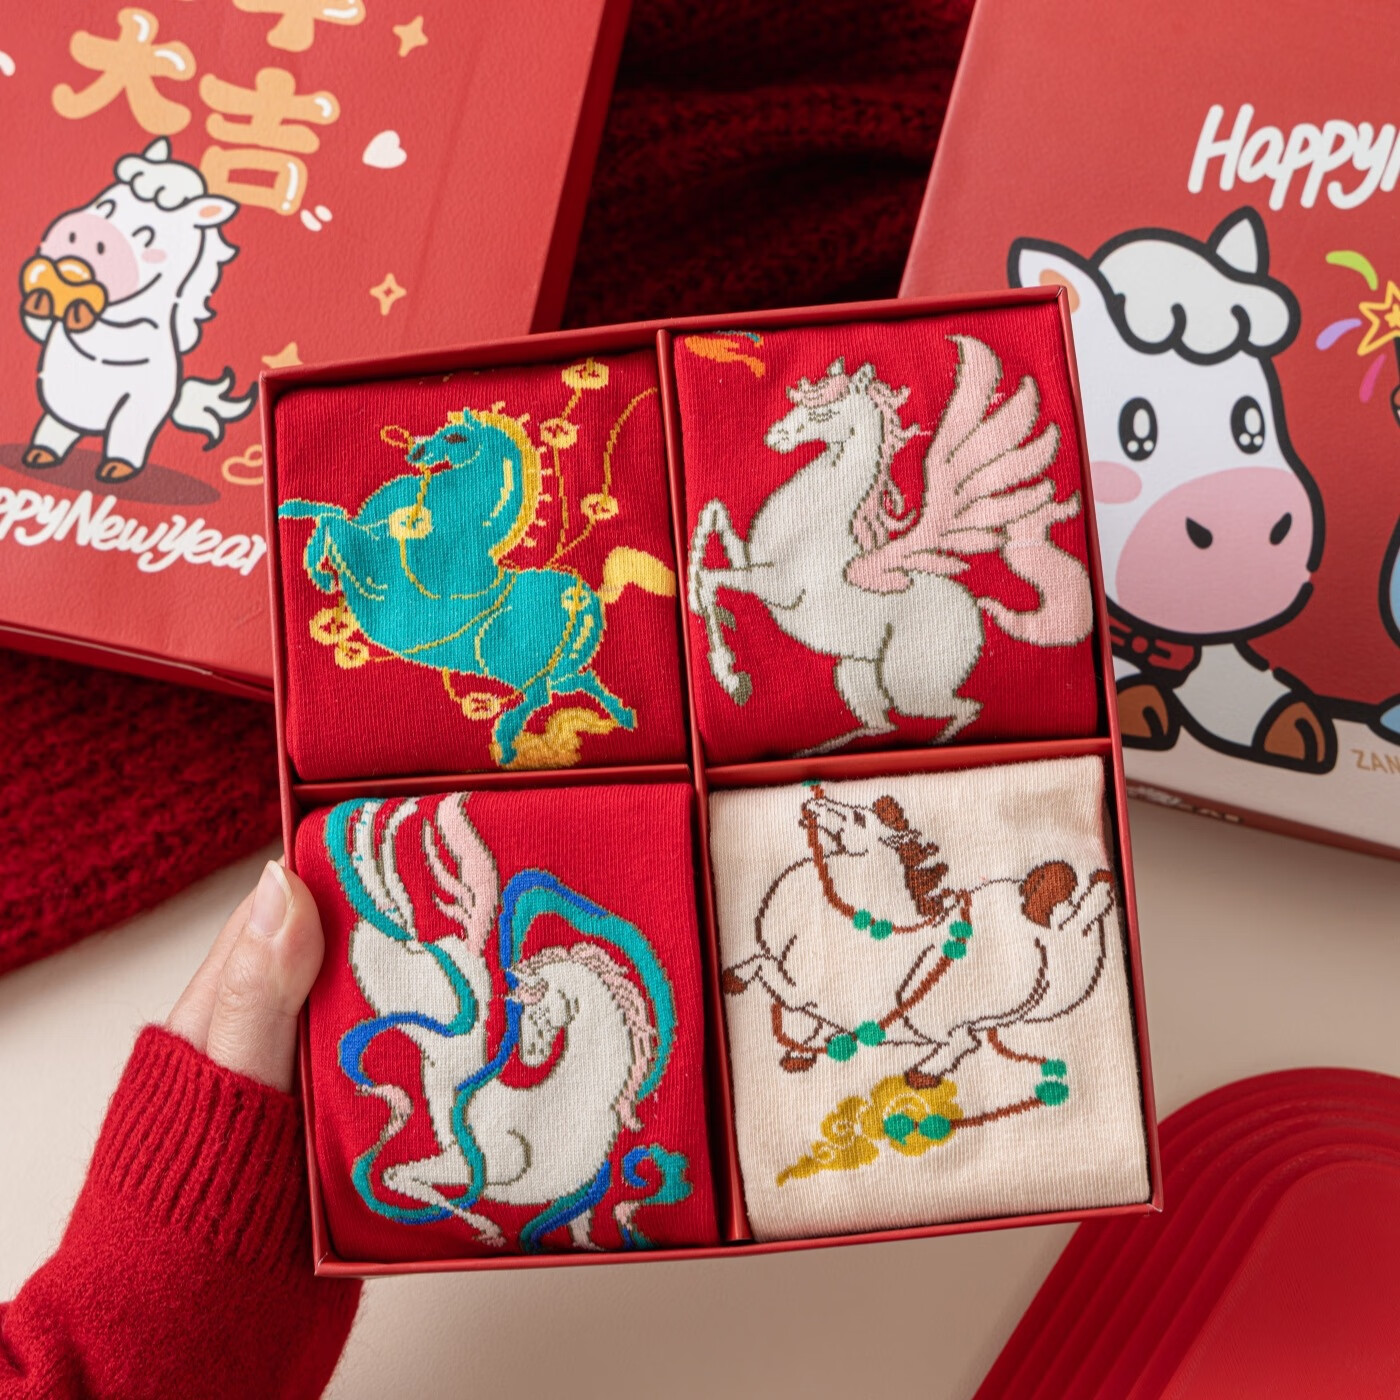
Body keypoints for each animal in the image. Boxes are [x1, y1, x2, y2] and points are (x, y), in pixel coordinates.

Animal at [19, 138, 254, 483]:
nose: (87, 232)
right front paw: (41, 300)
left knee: (125, 436)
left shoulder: (140, 329)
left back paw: (118, 466)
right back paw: (42, 453)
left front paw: (78, 311)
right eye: (106, 207)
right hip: (63, 409)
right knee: (57, 428)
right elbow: (40, 324)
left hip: (135, 413)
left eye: (147, 236)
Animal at [280, 404, 676, 767]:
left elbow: (333, 525)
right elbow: (332, 516)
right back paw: (621, 715)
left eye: (456, 436)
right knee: (580, 681)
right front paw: (295, 515)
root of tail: (586, 599)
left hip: (506, 658)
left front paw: (319, 570)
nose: (416, 452)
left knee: (540, 697)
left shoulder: (374, 570)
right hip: (557, 668)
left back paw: (506, 740)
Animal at [333, 794, 685, 1251]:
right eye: (526, 1015)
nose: (530, 1055)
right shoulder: (489, 1165)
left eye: (537, 1014)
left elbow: (582, 1230)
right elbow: (406, 1177)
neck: (584, 1098)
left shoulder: (579, 1197)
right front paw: (486, 1226)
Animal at [686, 340, 1091, 753]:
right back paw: (818, 749)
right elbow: (714, 520)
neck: (818, 520)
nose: (775, 436)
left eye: (824, 411)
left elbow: (713, 578)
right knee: (883, 724)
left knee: (964, 708)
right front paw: (699, 602)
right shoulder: (750, 558)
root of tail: (975, 606)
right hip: (855, 669)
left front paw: (728, 670)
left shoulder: (777, 585)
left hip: (910, 679)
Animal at [721, 786, 1116, 1092]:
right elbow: (806, 1016)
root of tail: (1056, 927)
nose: (812, 806)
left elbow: (766, 971)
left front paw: (735, 979)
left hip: (939, 1008)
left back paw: (923, 1073)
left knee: (962, 1040)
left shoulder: (804, 988)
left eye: (858, 818)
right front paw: (803, 1051)